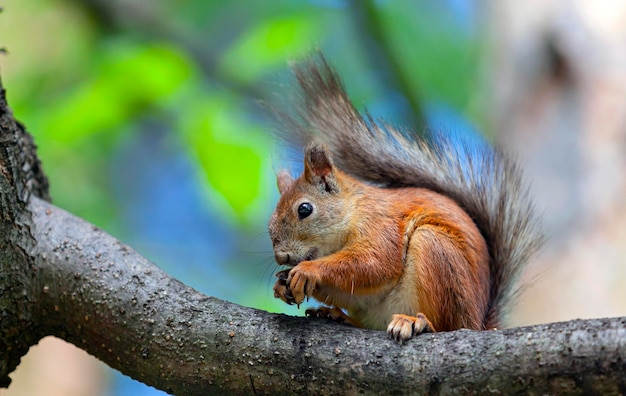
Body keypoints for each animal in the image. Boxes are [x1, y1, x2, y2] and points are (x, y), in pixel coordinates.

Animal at [266, 55, 540, 340]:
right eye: (270, 223)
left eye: (304, 209)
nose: (282, 257)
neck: (353, 210)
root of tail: (478, 322)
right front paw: (281, 283)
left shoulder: (380, 226)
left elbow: (375, 263)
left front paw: (308, 270)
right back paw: (338, 316)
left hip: (435, 252)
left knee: (447, 324)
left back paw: (417, 322)